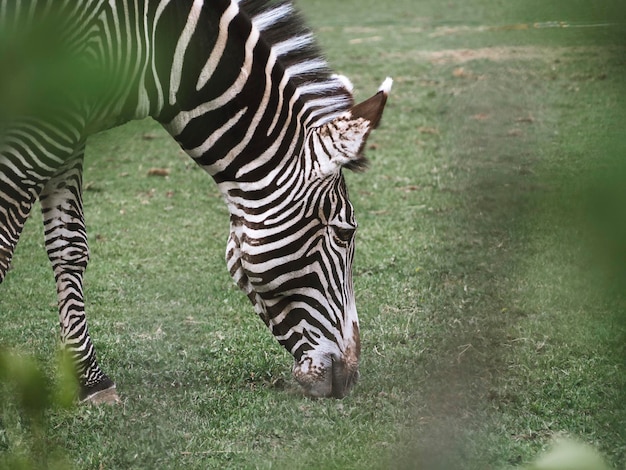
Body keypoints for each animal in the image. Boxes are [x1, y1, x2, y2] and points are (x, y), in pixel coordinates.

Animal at [0, 0, 390, 404]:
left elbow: (70, 247)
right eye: (345, 235)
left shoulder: (70, 125)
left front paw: (91, 380)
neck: (159, 46)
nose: (349, 378)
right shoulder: (45, 119)